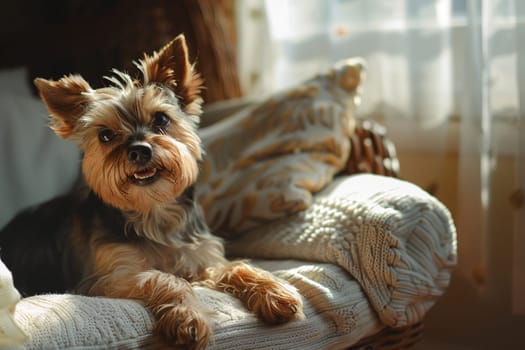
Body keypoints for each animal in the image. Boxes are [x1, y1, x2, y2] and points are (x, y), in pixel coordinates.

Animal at [0, 34, 302, 348]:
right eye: (105, 135)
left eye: (161, 119)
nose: (139, 150)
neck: (153, 209)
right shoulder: (108, 277)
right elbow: (164, 278)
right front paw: (187, 320)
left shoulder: (200, 257)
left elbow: (233, 266)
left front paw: (273, 291)